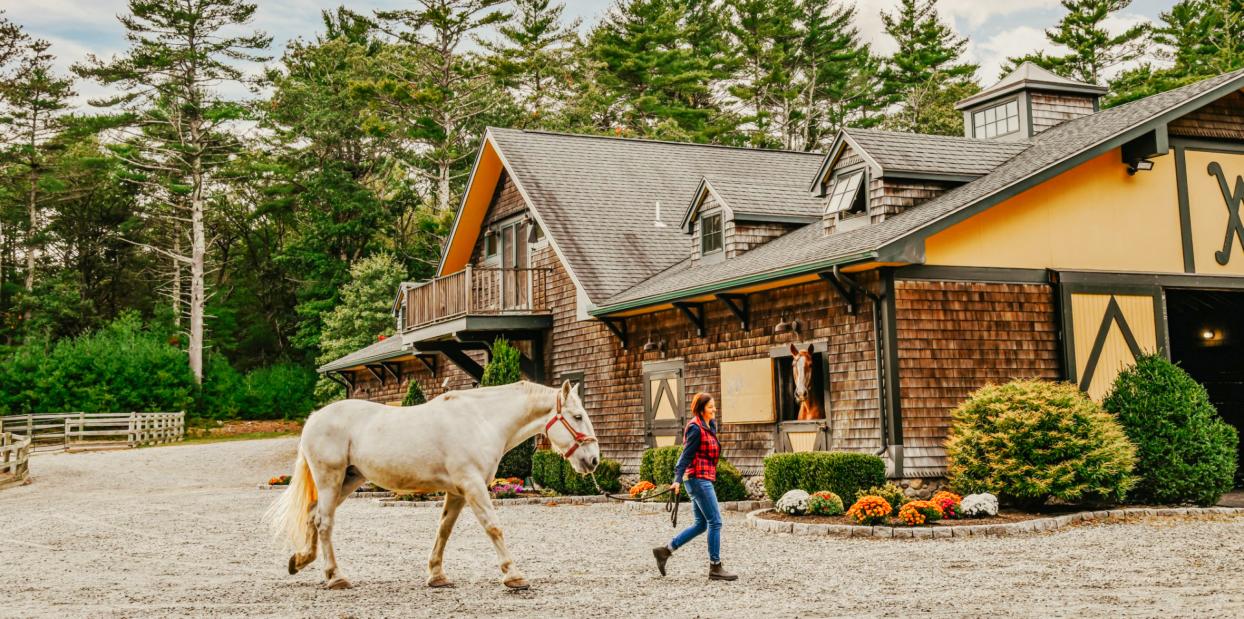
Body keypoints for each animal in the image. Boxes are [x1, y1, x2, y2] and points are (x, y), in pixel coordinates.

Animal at [267, 382, 602, 589]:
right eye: (577, 416)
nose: (594, 459)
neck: (481, 420)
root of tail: (315, 418)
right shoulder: (473, 486)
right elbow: (493, 527)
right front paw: (514, 576)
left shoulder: (457, 491)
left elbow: (444, 530)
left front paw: (436, 575)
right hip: (330, 479)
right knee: (324, 522)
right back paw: (336, 577)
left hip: (348, 480)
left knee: (313, 515)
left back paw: (300, 561)